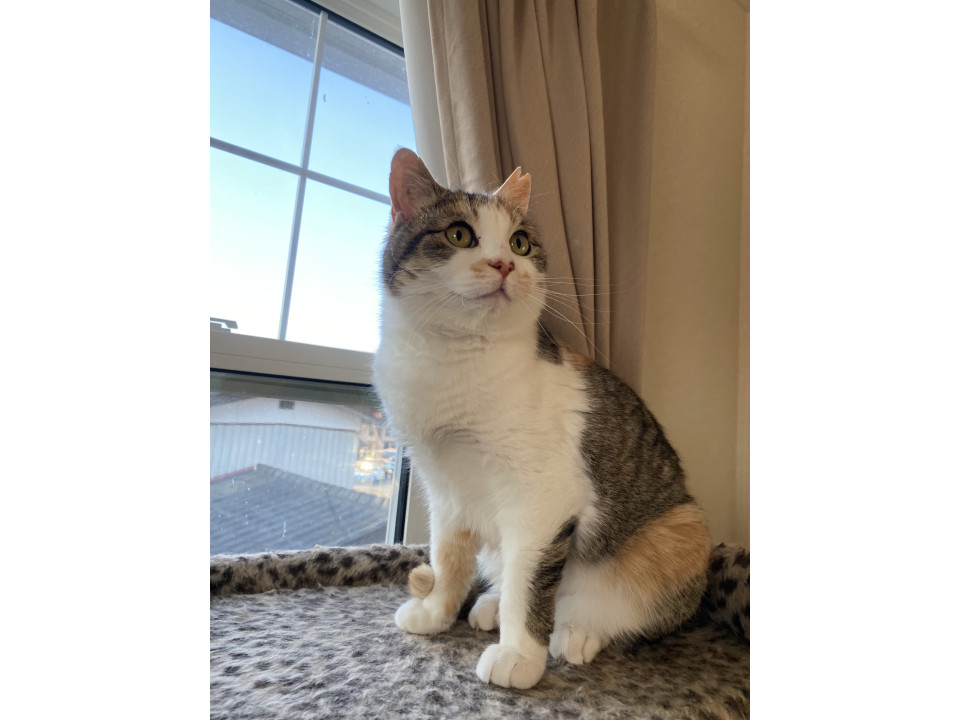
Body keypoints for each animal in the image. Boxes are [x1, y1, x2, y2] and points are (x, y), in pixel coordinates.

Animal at [373, 148, 711, 690]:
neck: (452, 363)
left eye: (520, 241)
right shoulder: (443, 487)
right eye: (459, 234)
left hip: (683, 529)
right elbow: (448, 558)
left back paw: (575, 630)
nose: (506, 264)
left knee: (606, 609)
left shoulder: (542, 498)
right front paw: (435, 613)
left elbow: (528, 584)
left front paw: (518, 655)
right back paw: (488, 604)